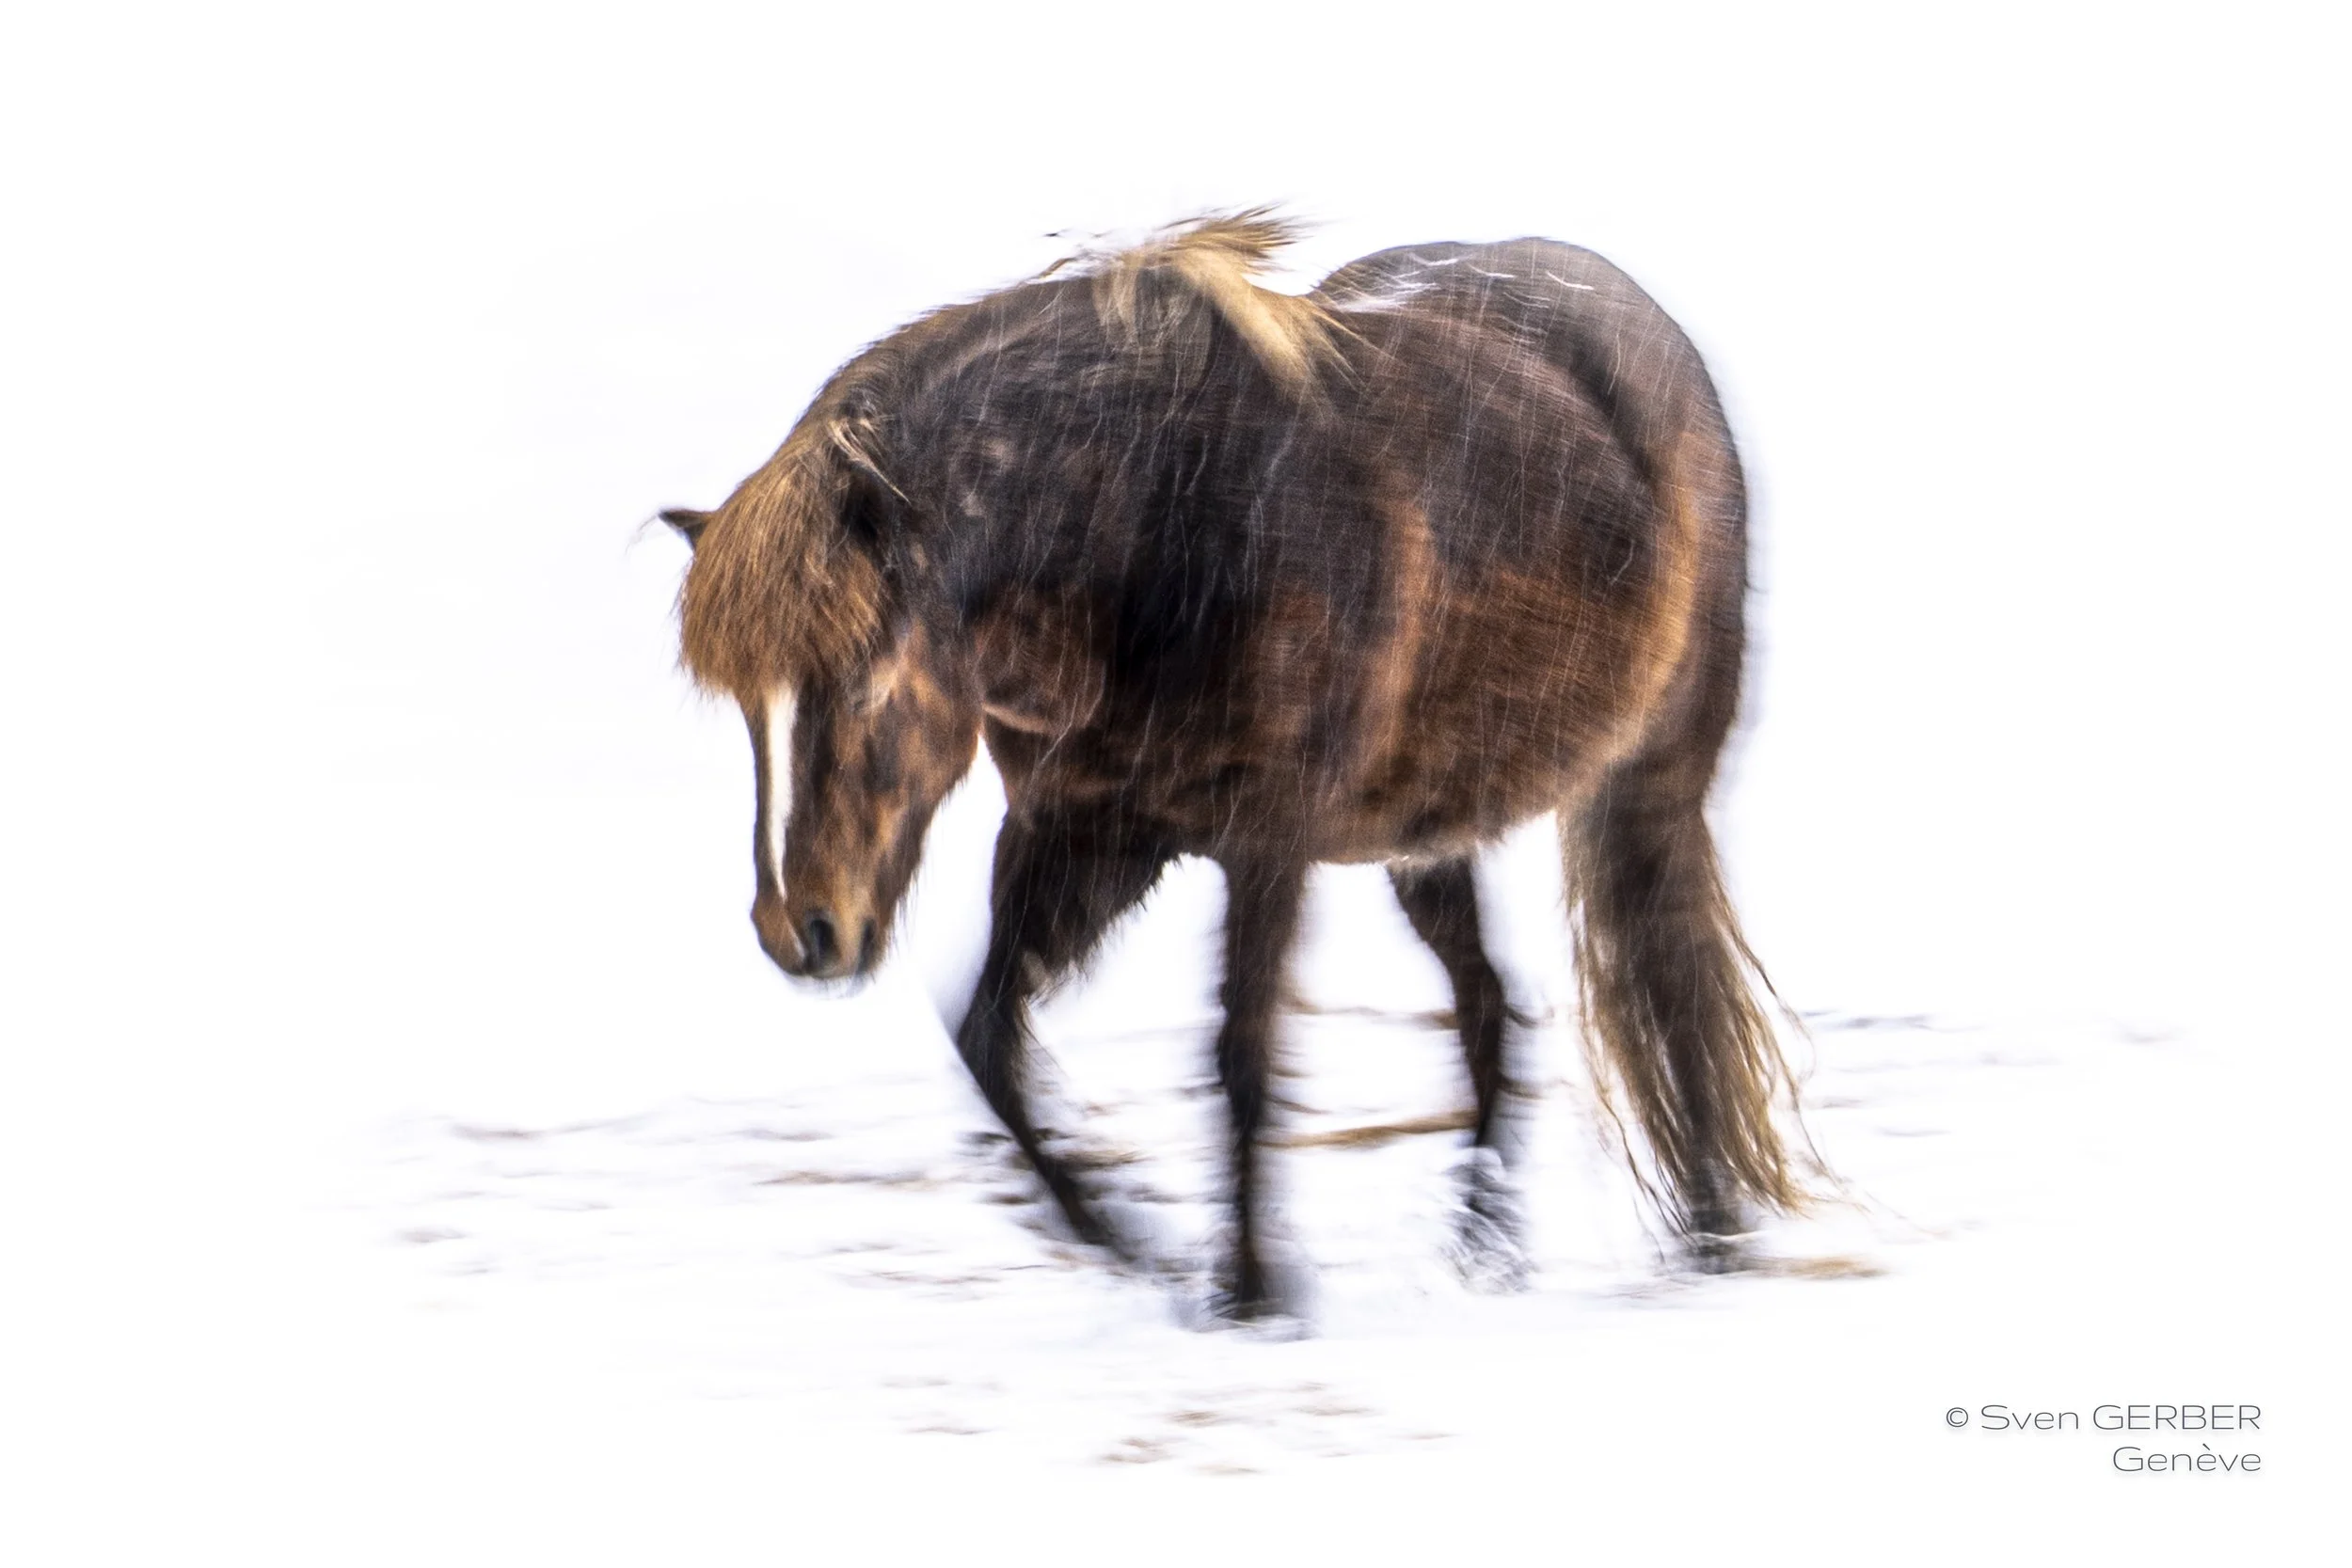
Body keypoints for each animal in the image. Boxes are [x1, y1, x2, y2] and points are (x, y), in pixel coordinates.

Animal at [662, 212, 1806, 1318]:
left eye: (860, 678)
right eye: (750, 711)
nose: (799, 931)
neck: (1161, 515)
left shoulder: (1267, 844)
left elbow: (1243, 1062)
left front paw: (1253, 1289)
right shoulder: (1080, 832)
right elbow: (987, 1042)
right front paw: (1130, 1241)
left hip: (1652, 789)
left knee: (1670, 983)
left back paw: (1708, 1231)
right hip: (1422, 842)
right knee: (1491, 1007)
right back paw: (1486, 1249)